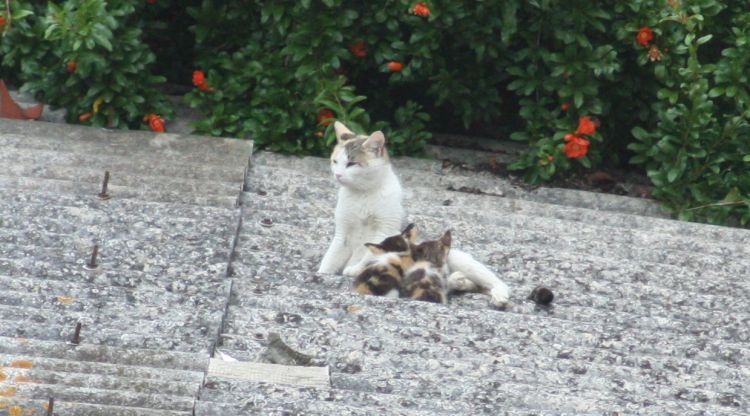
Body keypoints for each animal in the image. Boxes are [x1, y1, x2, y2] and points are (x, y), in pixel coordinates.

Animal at [320, 120, 408, 276]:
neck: (363, 194)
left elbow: (369, 256)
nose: (337, 174)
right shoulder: (342, 232)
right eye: (335, 161)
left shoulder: (384, 230)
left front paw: (355, 270)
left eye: (351, 164)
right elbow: (331, 257)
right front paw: (322, 272)